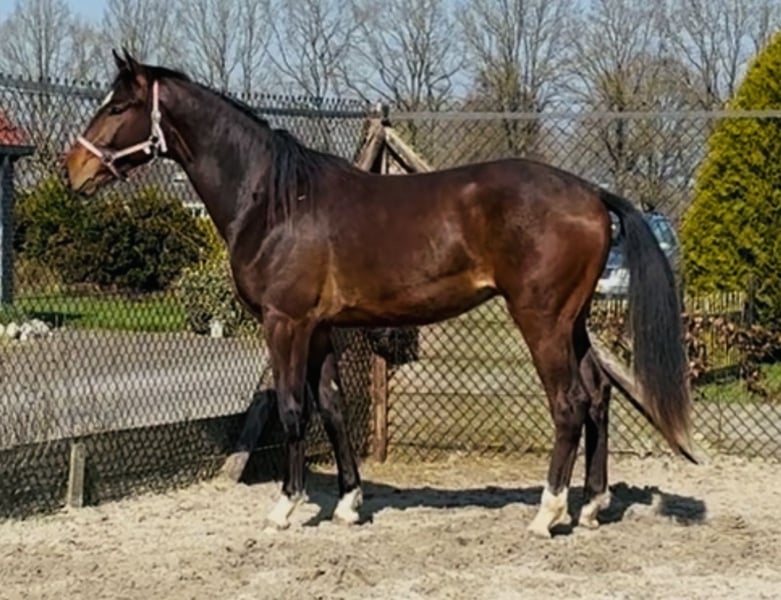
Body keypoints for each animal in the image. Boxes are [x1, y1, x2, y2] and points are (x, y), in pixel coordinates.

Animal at [63, 49, 696, 538]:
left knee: (568, 404)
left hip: (541, 320)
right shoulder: (320, 329)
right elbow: (332, 407)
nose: (73, 171)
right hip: (575, 321)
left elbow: (292, 409)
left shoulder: (285, 323)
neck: (274, 200)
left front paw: (286, 506)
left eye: (118, 106)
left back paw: (547, 514)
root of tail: (590, 192)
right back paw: (592, 504)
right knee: (598, 395)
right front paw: (348, 502)